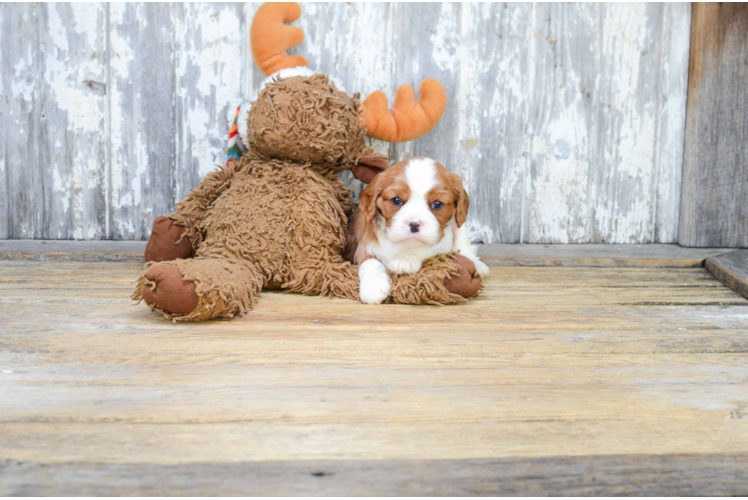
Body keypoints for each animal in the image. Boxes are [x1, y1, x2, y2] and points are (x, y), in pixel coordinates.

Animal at [346, 156, 490, 304]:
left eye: (437, 204)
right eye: (396, 200)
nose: (414, 224)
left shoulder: (442, 239)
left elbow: (427, 247)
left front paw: (405, 259)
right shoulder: (364, 246)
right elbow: (370, 262)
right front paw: (373, 287)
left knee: (465, 248)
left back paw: (478, 265)